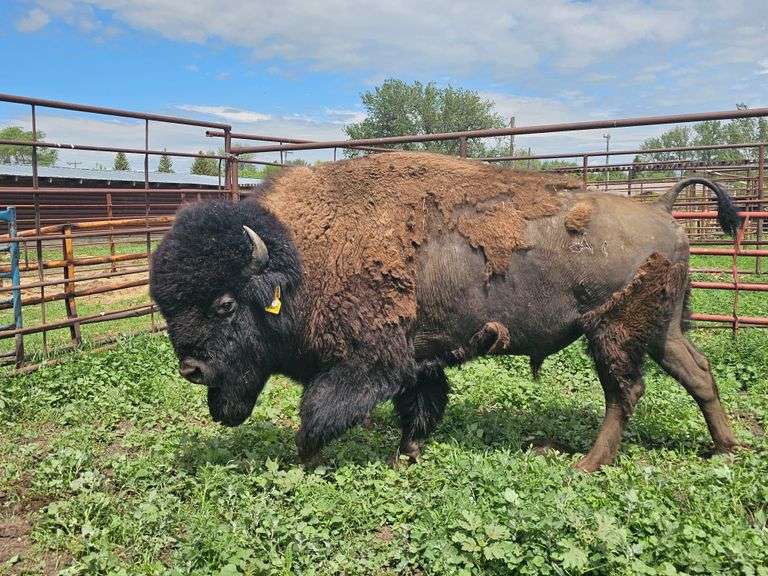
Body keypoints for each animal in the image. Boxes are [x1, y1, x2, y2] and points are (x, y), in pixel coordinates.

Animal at [150, 151, 740, 472]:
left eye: (224, 304)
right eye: (165, 304)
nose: (191, 368)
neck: (299, 259)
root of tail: (661, 210)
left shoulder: (371, 362)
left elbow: (318, 410)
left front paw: (306, 458)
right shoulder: (417, 361)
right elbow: (420, 408)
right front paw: (406, 455)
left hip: (612, 332)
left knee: (624, 392)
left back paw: (588, 463)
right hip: (660, 329)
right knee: (697, 372)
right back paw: (726, 448)